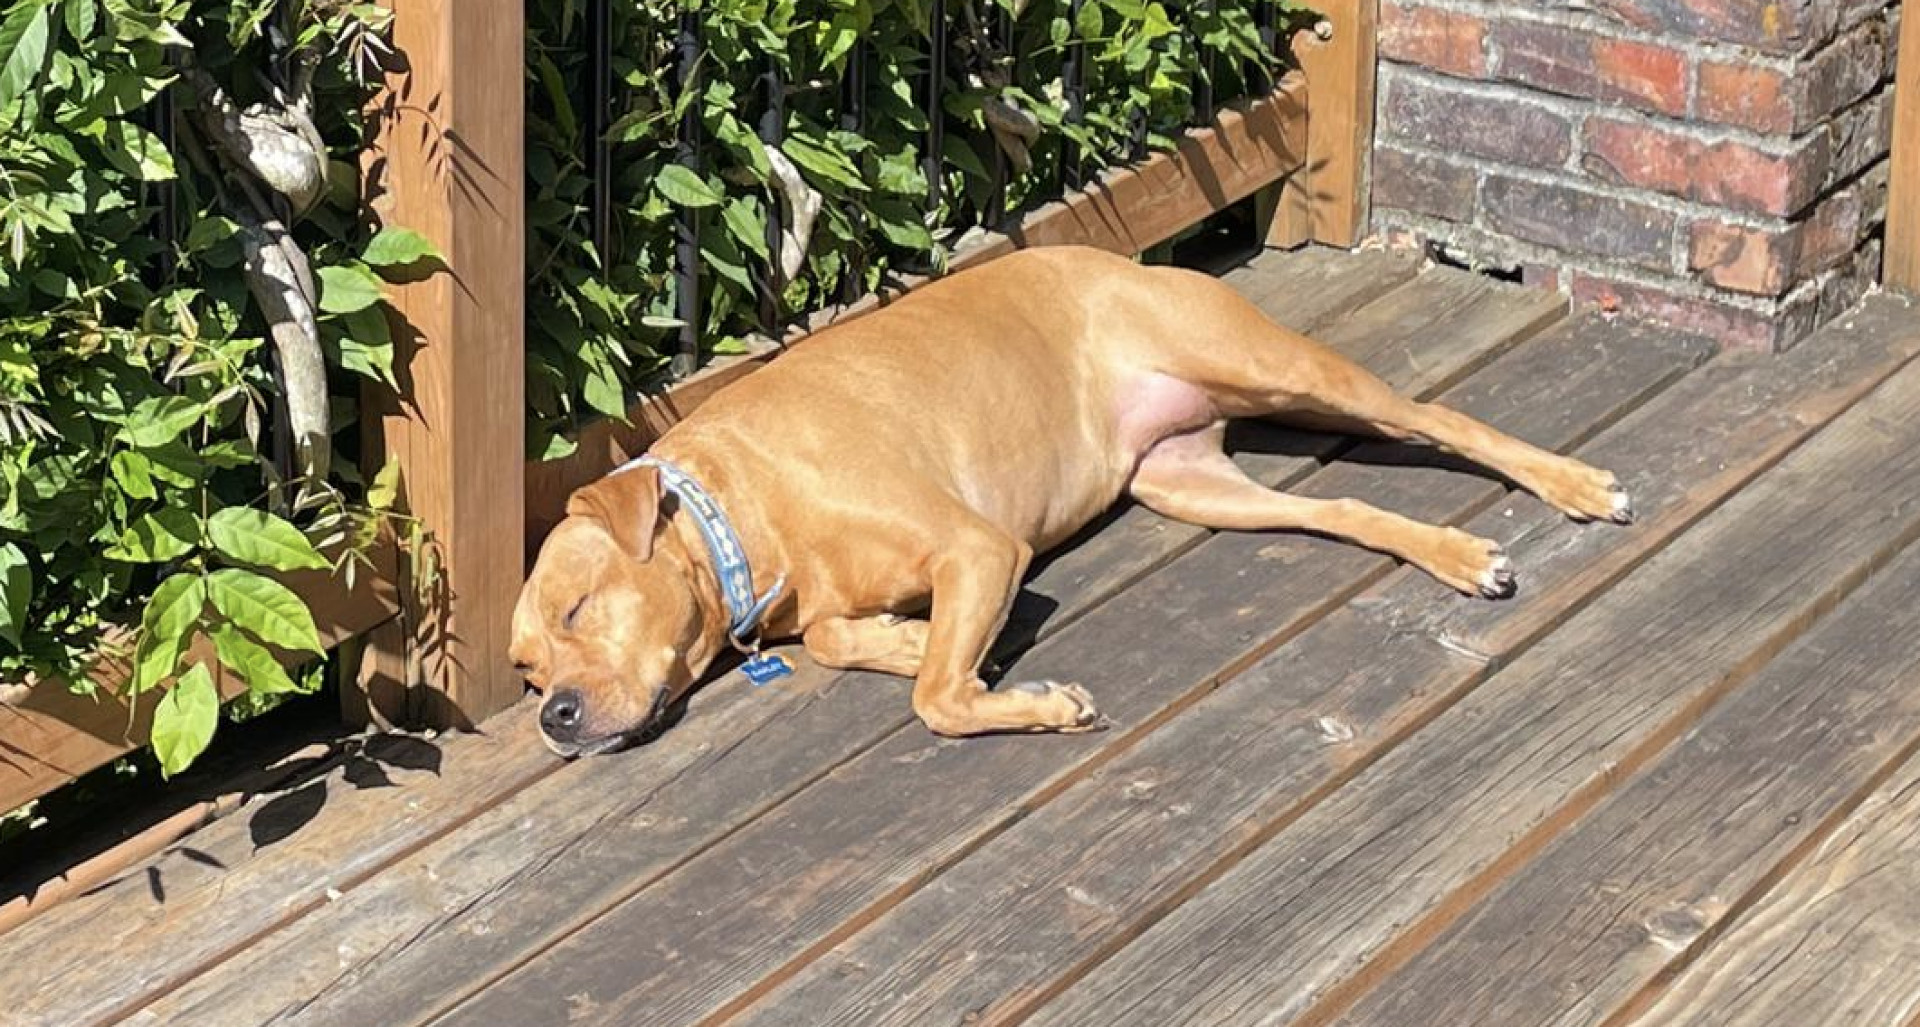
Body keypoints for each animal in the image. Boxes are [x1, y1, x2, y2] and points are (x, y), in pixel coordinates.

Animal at [510, 242, 1620, 756]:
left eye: (578, 608)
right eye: (524, 674)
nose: (554, 718)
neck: (745, 515)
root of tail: (1119, 259)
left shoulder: (979, 548)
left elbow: (937, 699)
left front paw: (1024, 697)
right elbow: (843, 640)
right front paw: (917, 640)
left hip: (1275, 365)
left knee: (1436, 417)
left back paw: (1575, 484)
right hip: (1194, 485)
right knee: (1342, 512)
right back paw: (1458, 555)